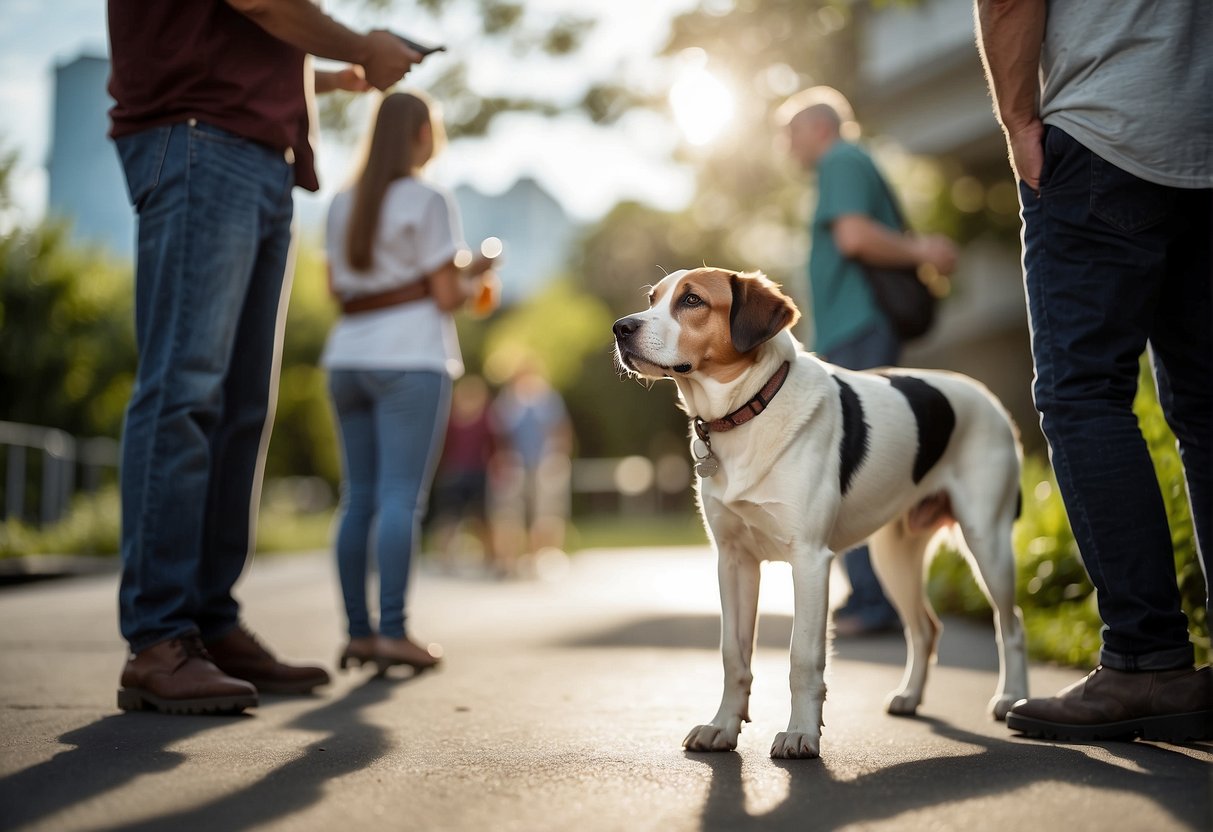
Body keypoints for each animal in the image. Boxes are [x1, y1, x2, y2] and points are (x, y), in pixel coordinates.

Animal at [611, 269, 1028, 761]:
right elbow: (733, 654)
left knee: (1011, 624)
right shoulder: (734, 562)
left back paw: (1011, 699)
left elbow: (802, 657)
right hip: (894, 555)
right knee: (925, 627)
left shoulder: (809, 560)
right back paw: (910, 696)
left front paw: (801, 734)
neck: (748, 411)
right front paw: (723, 726)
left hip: (987, 540)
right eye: (652, 300)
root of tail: (989, 398)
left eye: (692, 300)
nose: (620, 328)